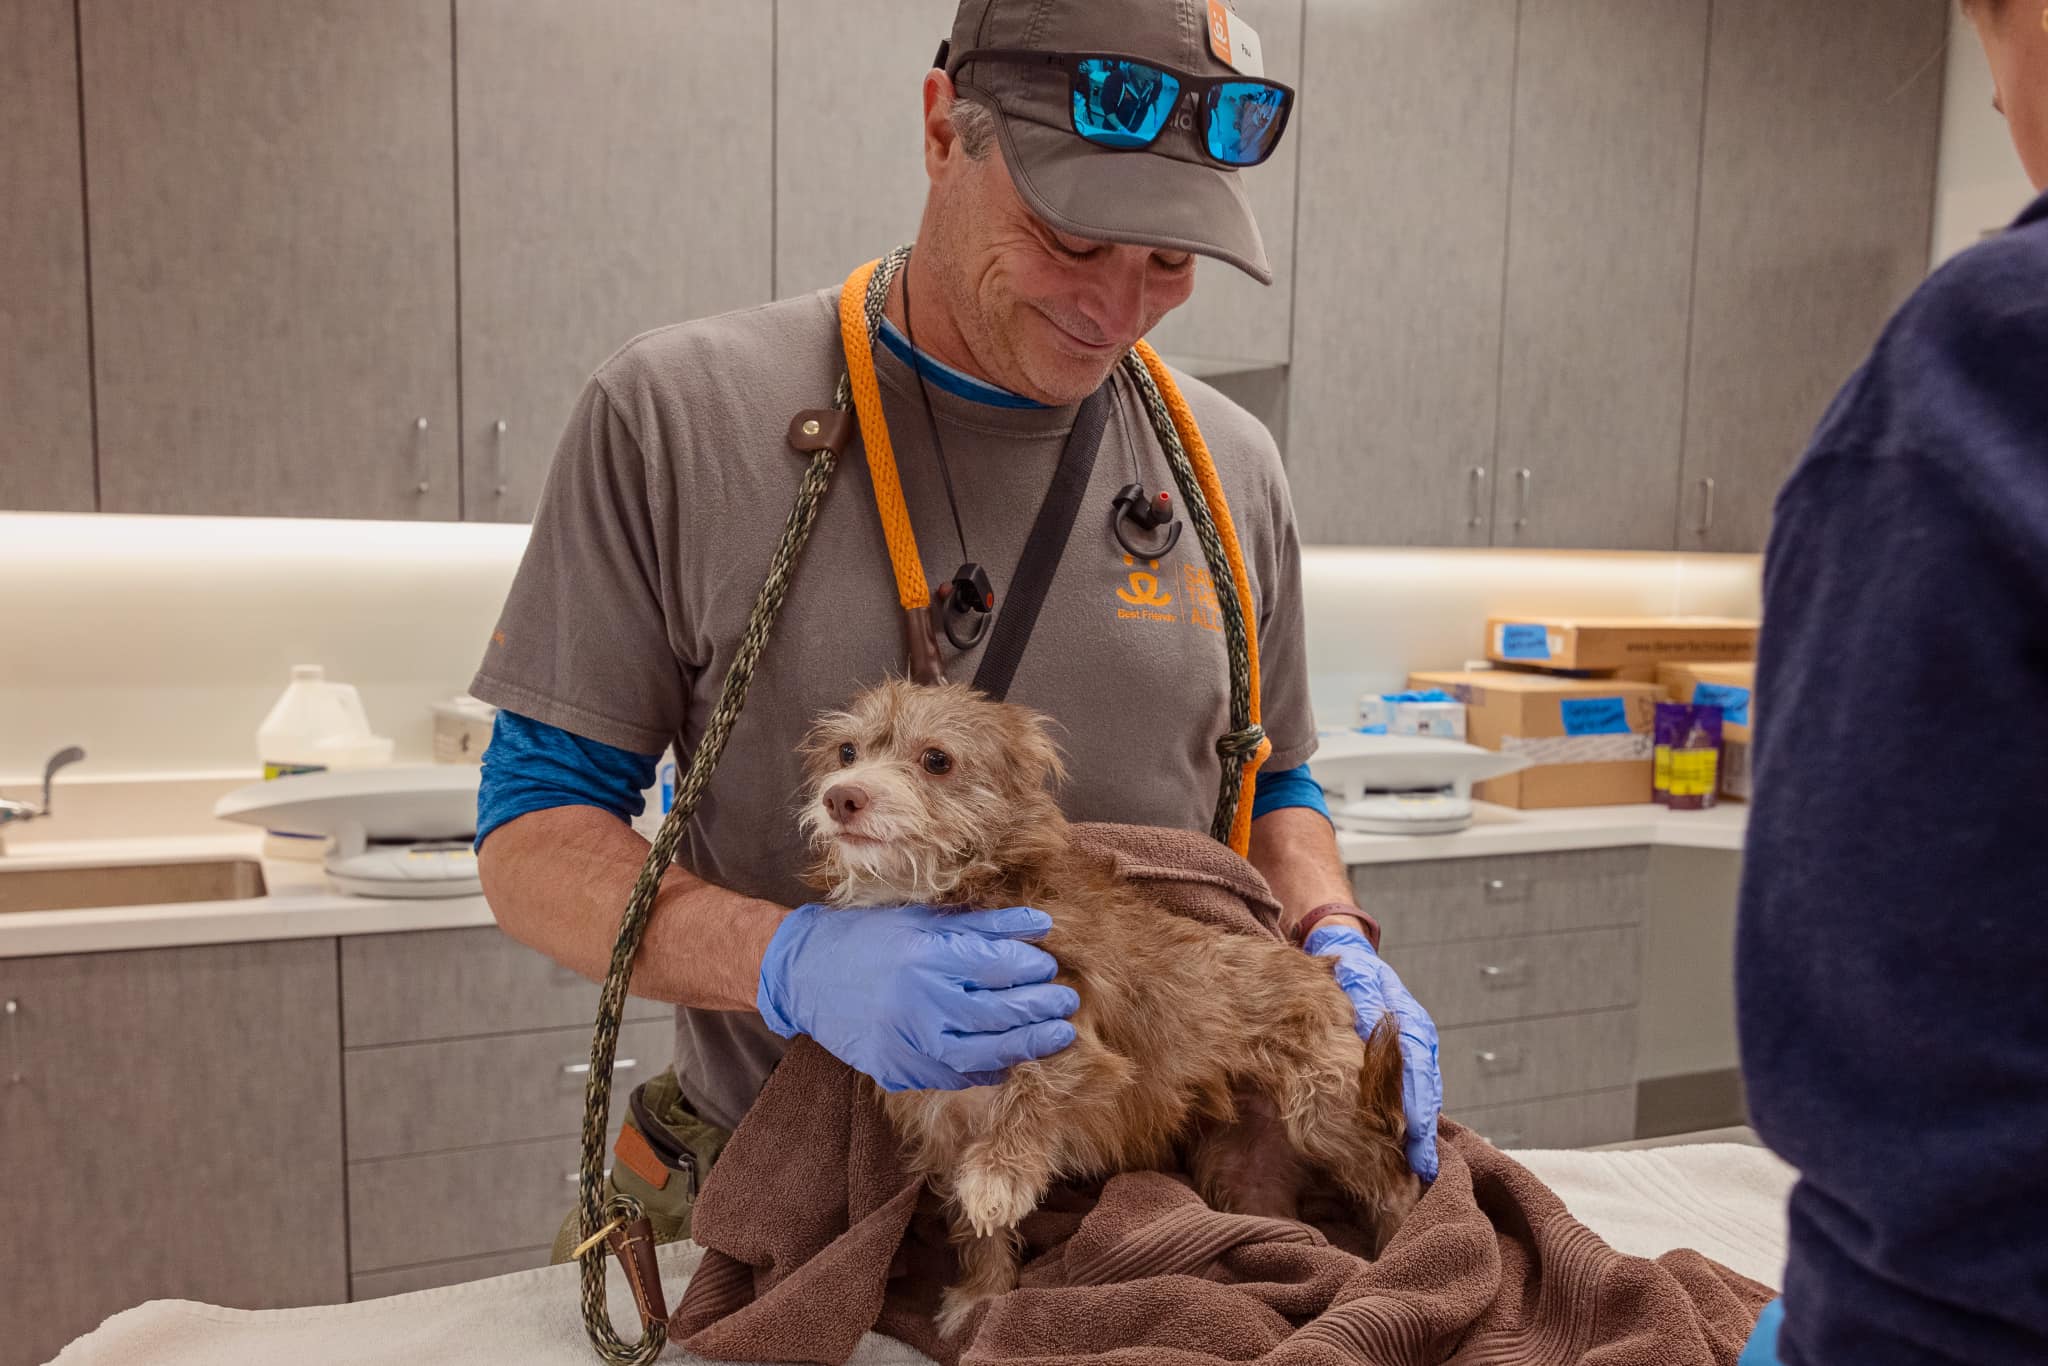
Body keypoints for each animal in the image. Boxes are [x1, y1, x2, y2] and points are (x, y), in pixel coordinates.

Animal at [798, 679, 1425, 1335]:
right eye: (846, 752)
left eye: (937, 759)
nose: (842, 797)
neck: (956, 900)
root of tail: (1324, 976)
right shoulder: (943, 1120)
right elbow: (977, 1231)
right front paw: (982, 1294)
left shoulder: (1089, 1053)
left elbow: (1037, 1088)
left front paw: (1001, 1173)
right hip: (1241, 1164)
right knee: (1280, 1222)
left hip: (1325, 1111)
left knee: (1394, 1177)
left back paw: (1402, 1247)